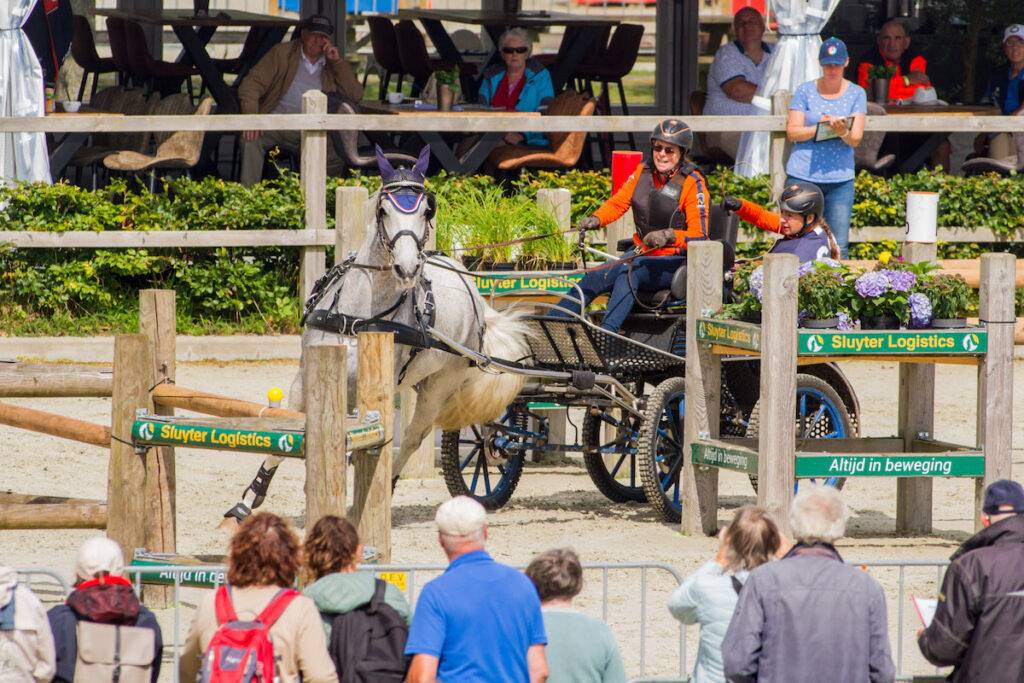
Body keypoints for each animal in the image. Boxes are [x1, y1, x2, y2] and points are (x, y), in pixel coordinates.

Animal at [221, 146, 530, 523]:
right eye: (384, 209)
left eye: (427, 210)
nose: (408, 268)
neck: (357, 316)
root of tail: (473, 289)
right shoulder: (305, 377)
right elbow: (290, 428)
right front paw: (249, 500)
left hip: (439, 386)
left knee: (412, 437)